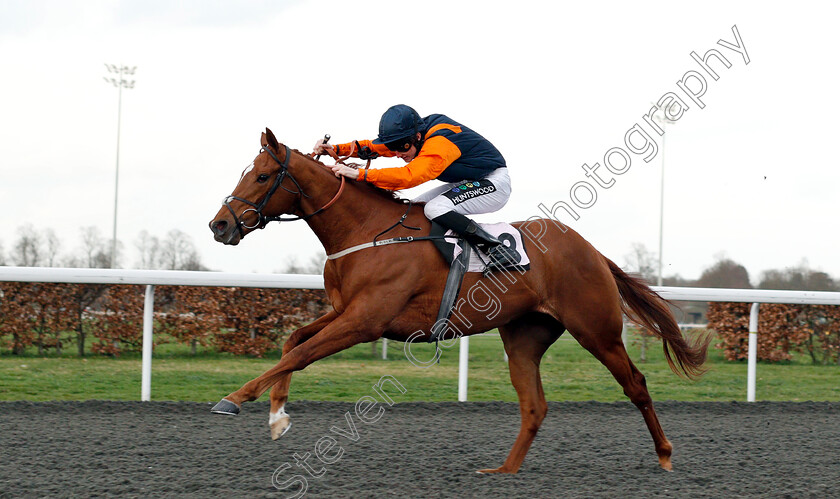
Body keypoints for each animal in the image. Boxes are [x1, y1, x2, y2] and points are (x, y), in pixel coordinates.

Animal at [208, 128, 708, 472]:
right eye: (246, 172)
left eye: (264, 176)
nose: (220, 225)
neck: (367, 232)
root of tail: (592, 251)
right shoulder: (345, 311)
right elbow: (293, 343)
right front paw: (277, 416)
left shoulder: (365, 320)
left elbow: (300, 354)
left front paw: (234, 398)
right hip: (524, 337)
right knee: (535, 405)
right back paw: (503, 471)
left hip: (596, 330)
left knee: (636, 385)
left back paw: (665, 454)